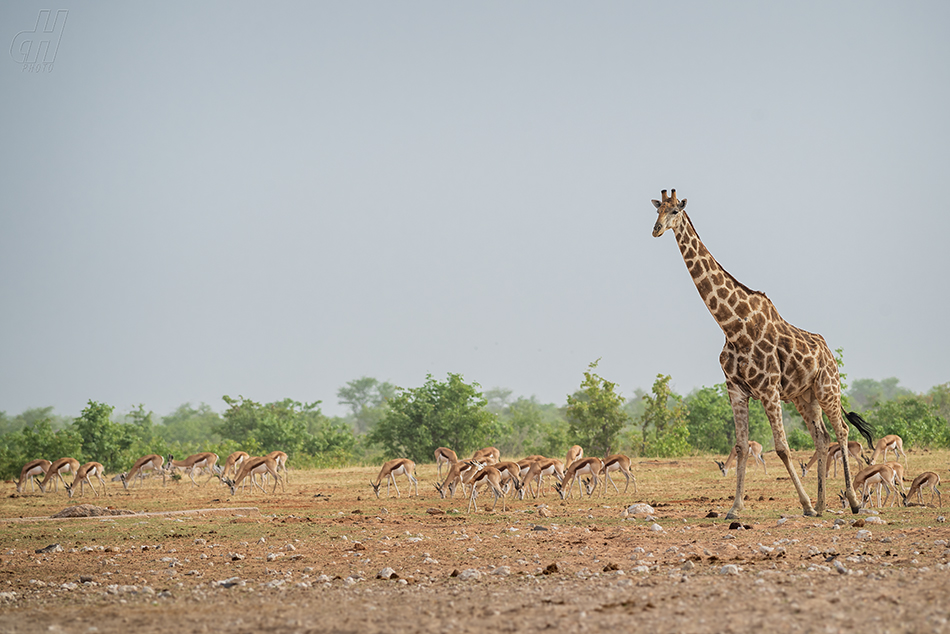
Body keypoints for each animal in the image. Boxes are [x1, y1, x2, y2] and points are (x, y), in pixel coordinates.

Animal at [652, 186, 872, 512]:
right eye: (657, 210)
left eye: (676, 210)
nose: (655, 229)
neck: (733, 326)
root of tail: (830, 354)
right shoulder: (736, 389)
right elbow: (742, 446)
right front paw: (734, 507)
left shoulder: (768, 389)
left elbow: (781, 447)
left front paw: (805, 505)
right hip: (804, 397)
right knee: (821, 437)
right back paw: (822, 504)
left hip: (828, 388)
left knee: (842, 431)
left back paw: (852, 502)